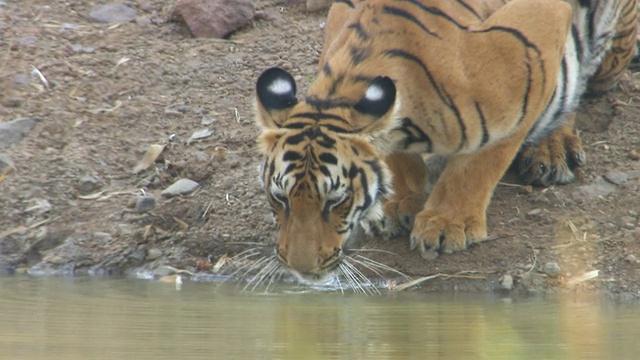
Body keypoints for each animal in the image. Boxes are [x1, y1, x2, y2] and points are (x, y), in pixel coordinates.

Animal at [252, 0, 636, 282]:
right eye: (279, 198)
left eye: (336, 201)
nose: (300, 268)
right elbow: (394, 155)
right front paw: (398, 203)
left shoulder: (531, 55)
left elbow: (480, 163)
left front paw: (448, 223)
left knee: (578, 83)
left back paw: (552, 148)